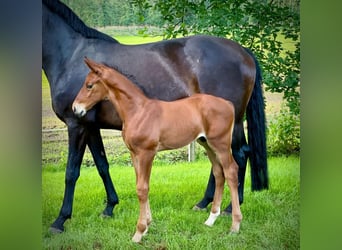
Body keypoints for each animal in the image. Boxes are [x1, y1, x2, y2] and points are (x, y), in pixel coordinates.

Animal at [73, 58, 243, 242]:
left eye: (89, 85)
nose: (75, 108)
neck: (138, 111)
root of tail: (228, 104)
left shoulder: (147, 153)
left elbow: (142, 189)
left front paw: (139, 232)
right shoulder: (134, 154)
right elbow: (141, 185)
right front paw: (147, 226)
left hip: (221, 144)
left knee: (231, 171)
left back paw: (235, 225)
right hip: (207, 144)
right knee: (219, 173)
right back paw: (211, 219)